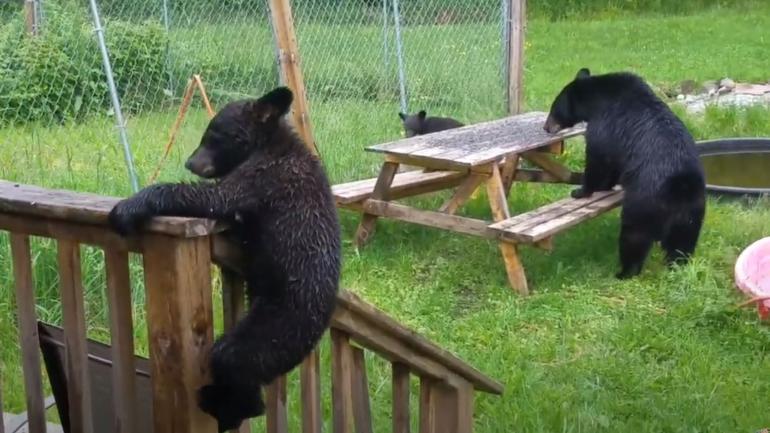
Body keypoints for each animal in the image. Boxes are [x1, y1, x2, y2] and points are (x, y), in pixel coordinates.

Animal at [108, 87, 342, 432]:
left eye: (215, 135)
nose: (190, 162)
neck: (270, 145)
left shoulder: (264, 176)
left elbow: (215, 197)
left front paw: (129, 207)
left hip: (275, 326)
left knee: (232, 359)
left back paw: (222, 403)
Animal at [543, 68, 706, 279]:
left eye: (554, 108)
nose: (546, 127)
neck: (597, 100)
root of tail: (680, 185)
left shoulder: (605, 127)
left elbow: (599, 160)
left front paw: (580, 191)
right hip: (692, 211)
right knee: (682, 241)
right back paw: (678, 266)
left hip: (644, 201)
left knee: (634, 235)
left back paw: (625, 272)